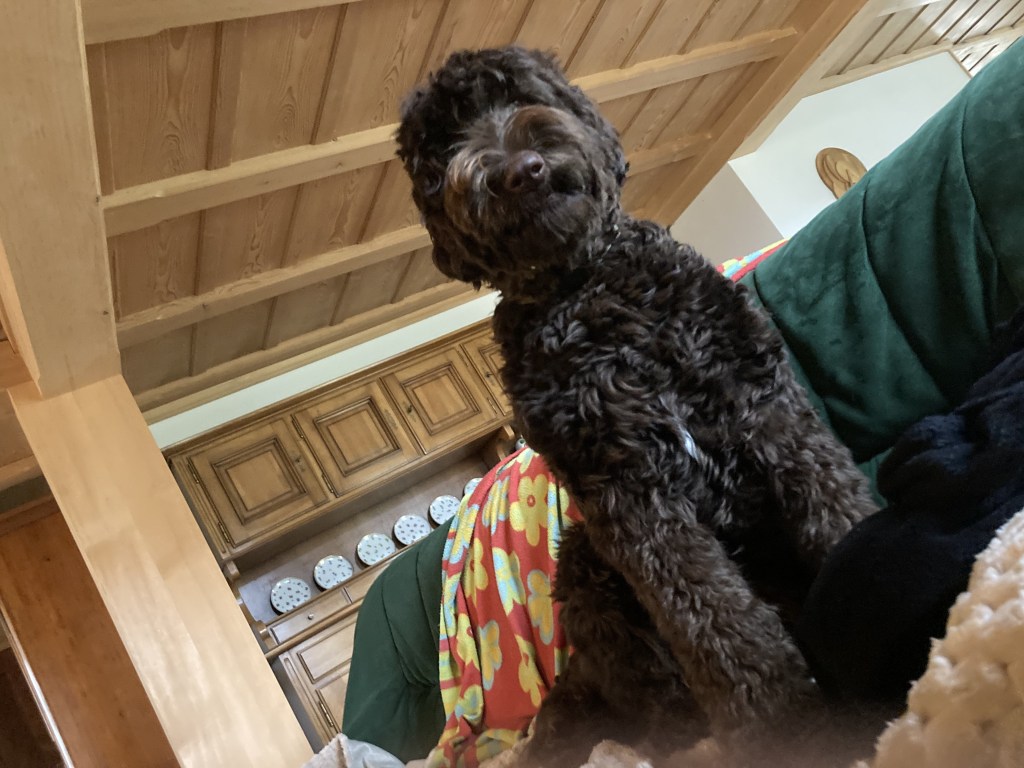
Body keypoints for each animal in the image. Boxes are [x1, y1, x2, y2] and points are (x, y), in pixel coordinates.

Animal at [397, 46, 880, 766]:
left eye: (522, 95)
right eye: (447, 143)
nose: (517, 169)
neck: (590, 289)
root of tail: (580, 679)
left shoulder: (763, 405)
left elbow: (833, 509)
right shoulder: (630, 498)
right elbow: (716, 624)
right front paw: (790, 730)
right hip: (588, 568)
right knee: (660, 717)